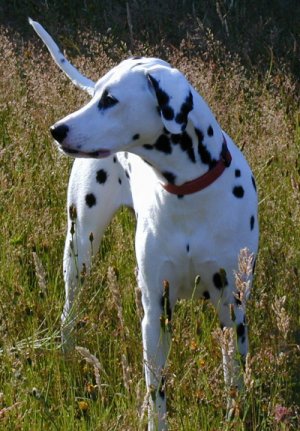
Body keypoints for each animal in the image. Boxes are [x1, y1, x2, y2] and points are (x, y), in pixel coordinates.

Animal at [29, 18, 258, 430]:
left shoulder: (233, 309)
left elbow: (234, 379)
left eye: (110, 100)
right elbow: (156, 390)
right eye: (97, 95)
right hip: (79, 249)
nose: (57, 130)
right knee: (69, 310)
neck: (187, 193)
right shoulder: (155, 311)